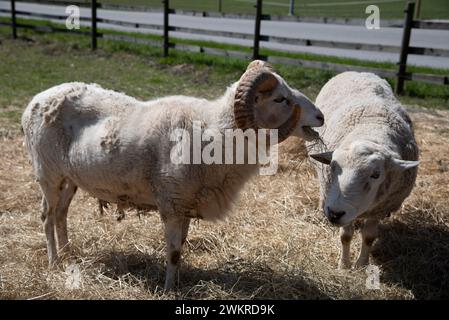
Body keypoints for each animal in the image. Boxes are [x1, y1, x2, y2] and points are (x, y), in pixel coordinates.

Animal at [21, 60, 322, 290]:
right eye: (280, 99)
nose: (320, 116)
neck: (216, 132)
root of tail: (36, 99)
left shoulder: (186, 203)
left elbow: (182, 248)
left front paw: (177, 282)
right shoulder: (171, 203)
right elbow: (174, 251)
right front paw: (168, 290)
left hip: (69, 179)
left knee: (61, 214)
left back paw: (68, 254)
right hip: (48, 174)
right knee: (47, 215)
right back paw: (54, 261)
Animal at [306, 71, 418, 268]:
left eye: (376, 175)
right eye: (333, 166)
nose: (334, 214)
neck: (371, 131)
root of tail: (359, 71)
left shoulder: (379, 208)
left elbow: (368, 237)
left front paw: (361, 264)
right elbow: (345, 236)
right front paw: (344, 265)